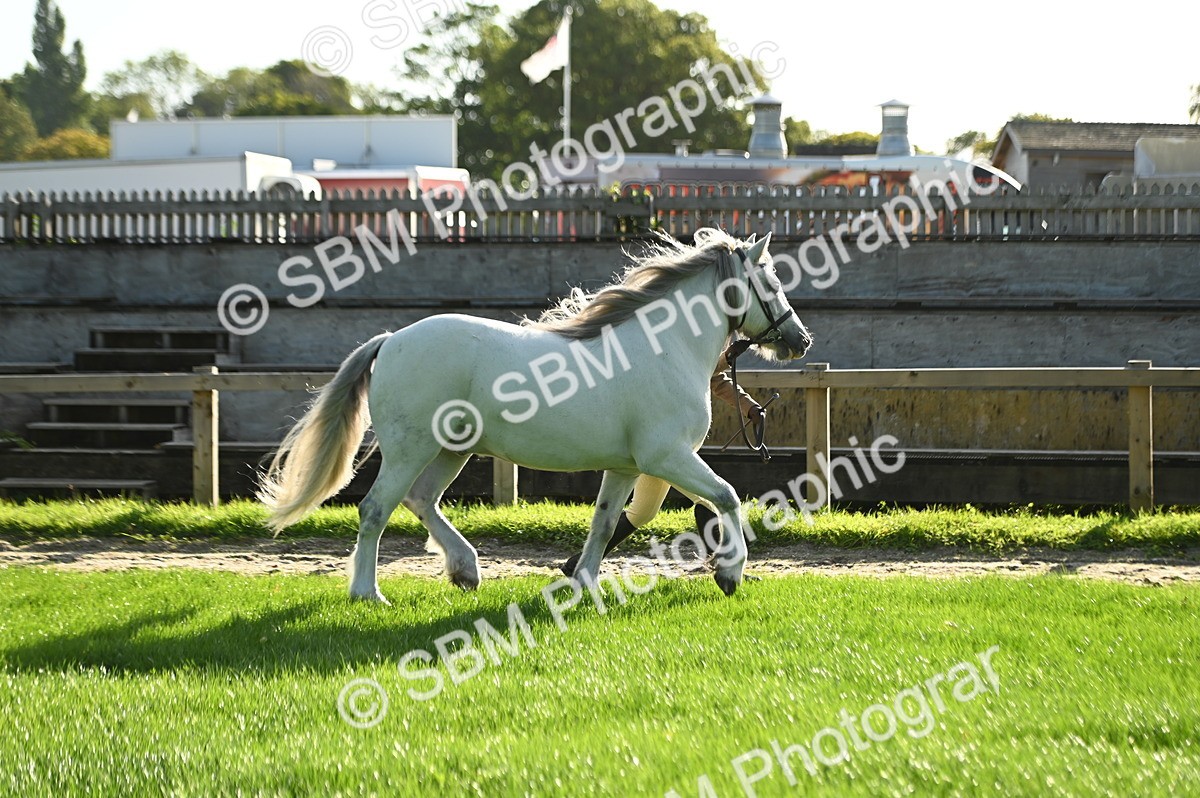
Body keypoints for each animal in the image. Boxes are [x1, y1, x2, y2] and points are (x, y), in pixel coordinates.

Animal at [258, 228, 813, 602]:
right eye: (771, 281)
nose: (800, 339)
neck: (666, 348)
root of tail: (391, 340)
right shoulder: (667, 457)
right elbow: (727, 496)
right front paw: (729, 574)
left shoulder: (627, 467)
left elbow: (604, 523)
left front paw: (585, 584)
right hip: (410, 449)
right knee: (375, 509)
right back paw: (368, 593)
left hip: (451, 449)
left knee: (421, 500)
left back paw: (466, 570)